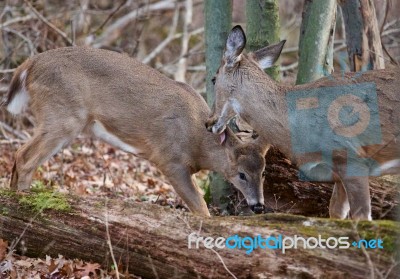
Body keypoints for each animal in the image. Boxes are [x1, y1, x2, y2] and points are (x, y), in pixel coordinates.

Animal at [2, 46, 268, 218]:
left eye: (263, 172)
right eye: (241, 174)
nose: (258, 206)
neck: (198, 142)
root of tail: (28, 65)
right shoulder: (169, 160)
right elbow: (201, 209)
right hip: (63, 115)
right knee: (24, 157)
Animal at [206, 25, 400, 221]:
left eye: (213, 79)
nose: (208, 122)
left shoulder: (352, 158)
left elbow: (362, 217)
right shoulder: (338, 174)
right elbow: (335, 212)